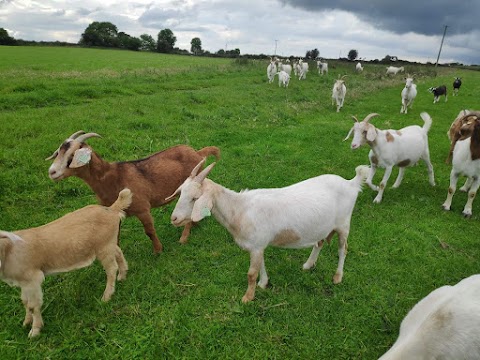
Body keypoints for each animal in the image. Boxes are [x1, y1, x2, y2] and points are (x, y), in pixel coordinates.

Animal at [0, 188, 131, 338]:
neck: (9, 251)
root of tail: (111, 209)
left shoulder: (32, 278)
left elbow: (32, 306)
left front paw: (35, 331)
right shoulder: (24, 282)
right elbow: (25, 302)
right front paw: (26, 322)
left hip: (104, 246)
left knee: (111, 269)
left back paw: (107, 295)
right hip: (109, 243)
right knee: (118, 253)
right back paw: (122, 275)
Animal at [47, 130, 219, 253]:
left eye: (72, 156)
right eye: (58, 153)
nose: (52, 172)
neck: (113, 177)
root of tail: (198, 153)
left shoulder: (142, 208)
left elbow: (149, 231)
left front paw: (158, 251)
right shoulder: (114, 211)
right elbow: (115, 234)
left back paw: (184, 237)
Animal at [165, 159, 368, 302]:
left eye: (194, 198)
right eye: (181, 192)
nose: (174, 219)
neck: (240, 209)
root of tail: (351, 183)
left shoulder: (256, 245)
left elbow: (251, 273)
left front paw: (247, 298)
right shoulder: (258, 245)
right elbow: (261, 265)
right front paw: (263, 284)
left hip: (344, 224)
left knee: (343, 249)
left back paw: (337, 277)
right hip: (322, 226)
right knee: (319, 242)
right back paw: (308, 265)